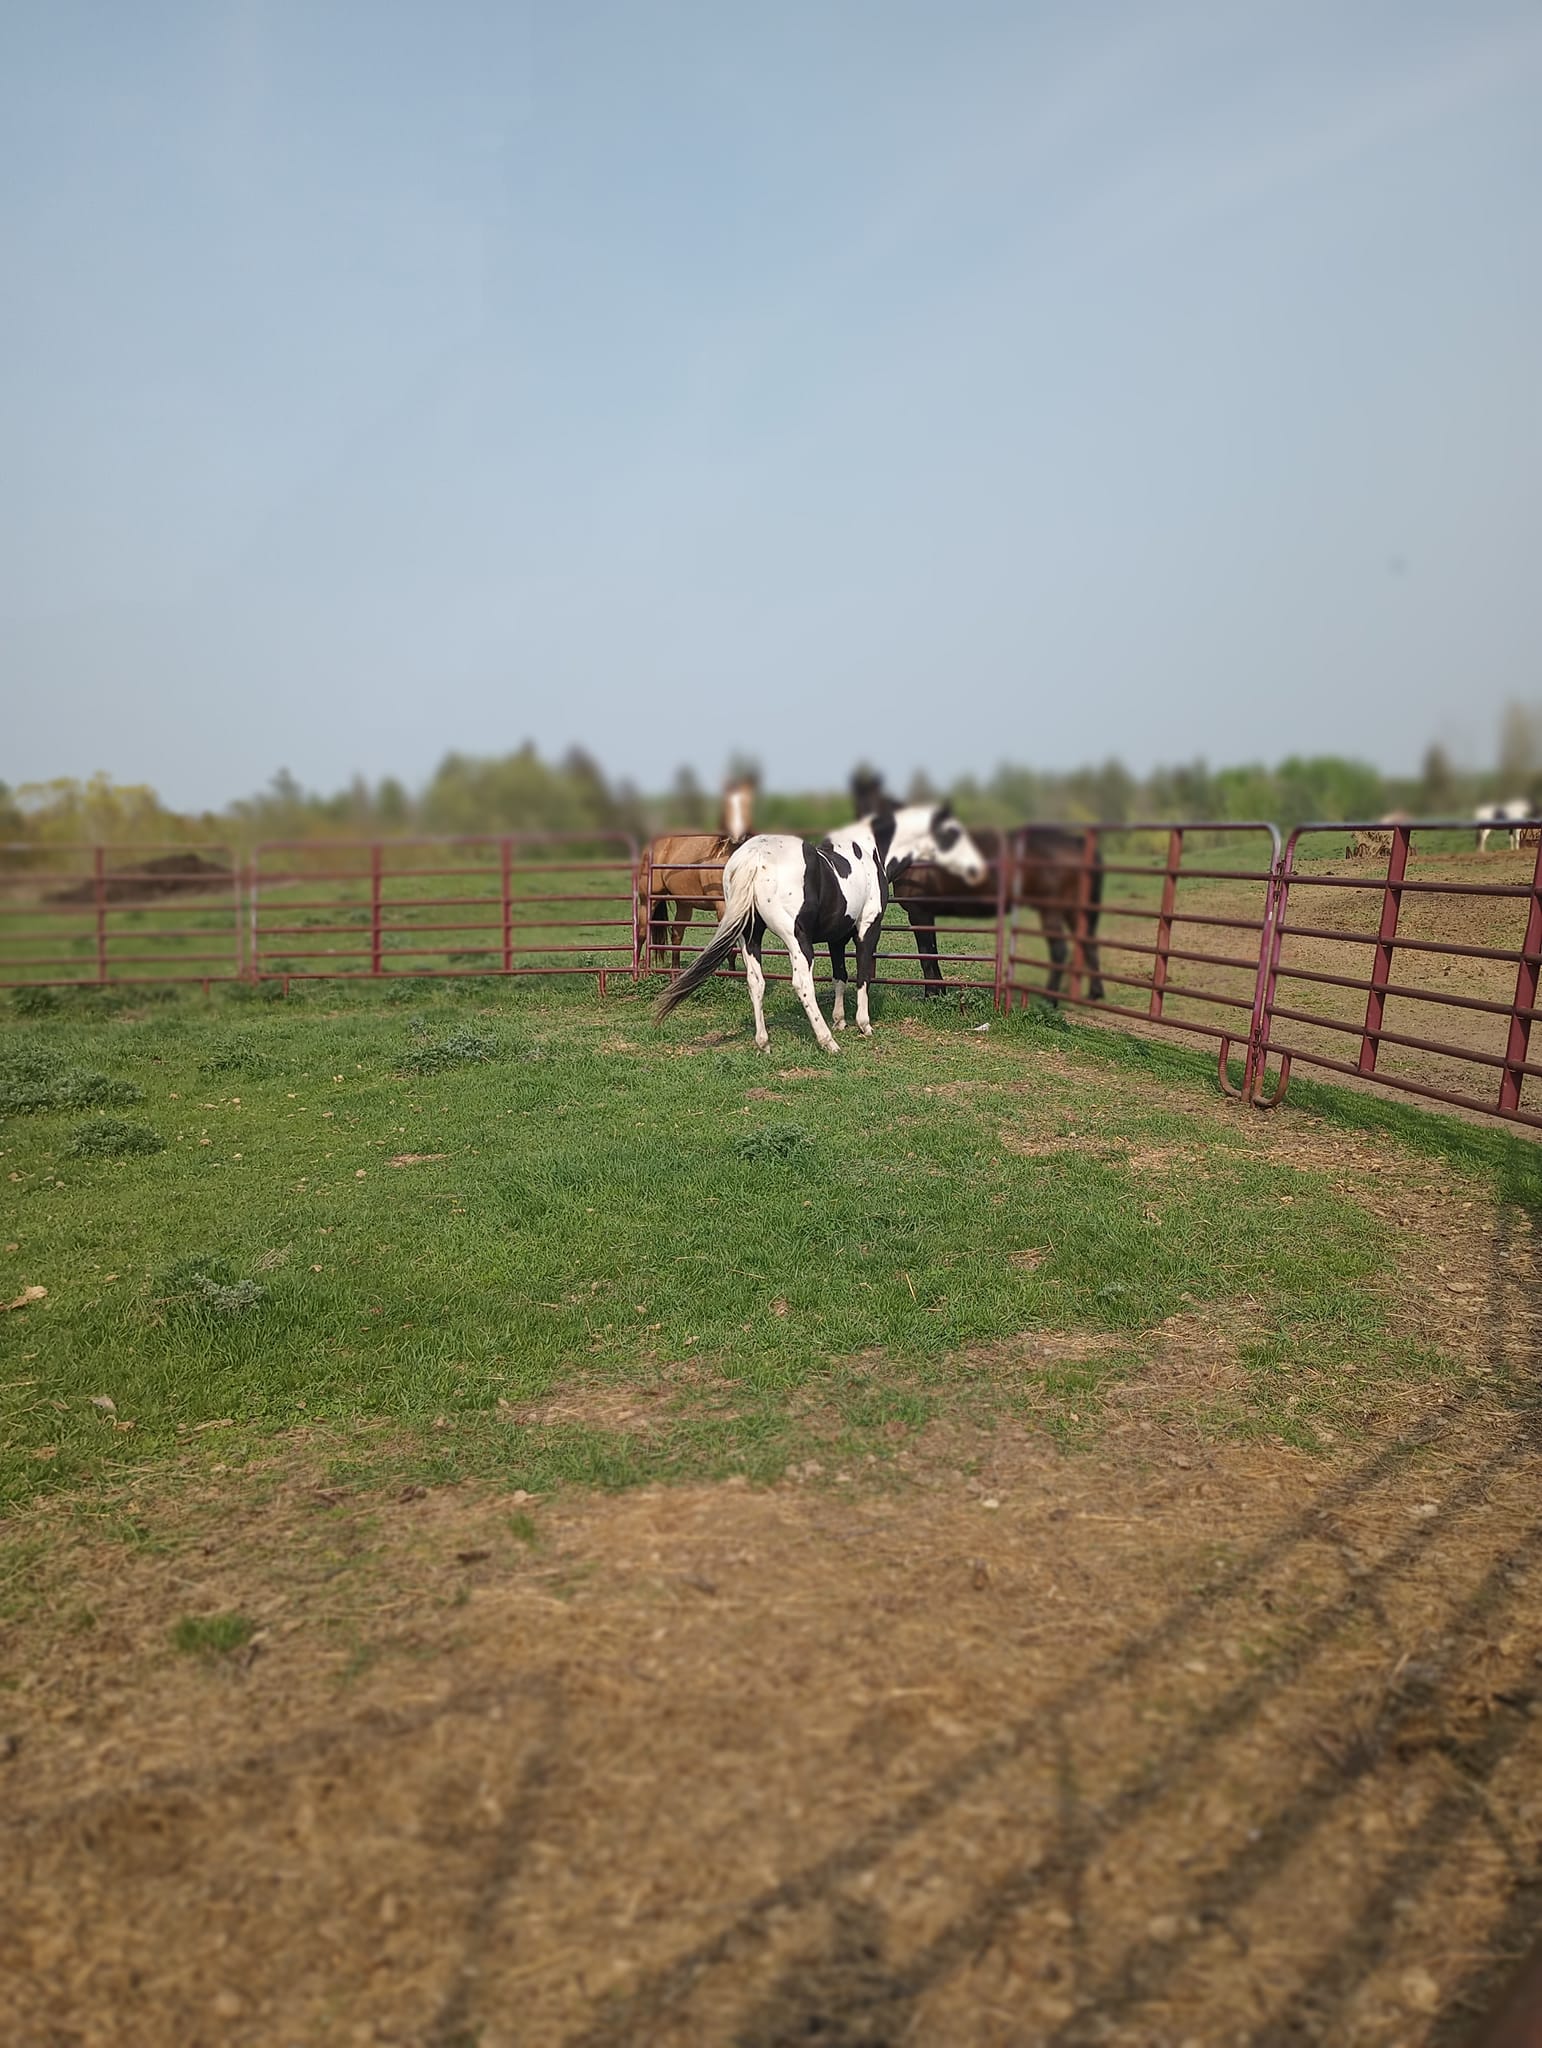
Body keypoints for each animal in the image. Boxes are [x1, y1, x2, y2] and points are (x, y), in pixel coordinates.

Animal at [639, 778, 755, 970]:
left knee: (677, 934)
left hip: (684, 903)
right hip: (648, 900)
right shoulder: (723, 906)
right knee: (642, 932)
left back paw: (675, 971)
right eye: (726, 804)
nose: (737, 835)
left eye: (748, 802)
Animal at [654, 803, 988, 1052]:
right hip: (796, 941)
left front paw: (840, 1020)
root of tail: (754, 857)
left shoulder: (836, 936)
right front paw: (863, 1024)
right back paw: (827, 1041)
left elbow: (840, 974)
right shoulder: (868, 928)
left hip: (750, 936)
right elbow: (863, 974)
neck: (870, 852)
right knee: (802, 984)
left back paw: (764, 1042)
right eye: (953, 832)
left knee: (755, 982)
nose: (977, 870)